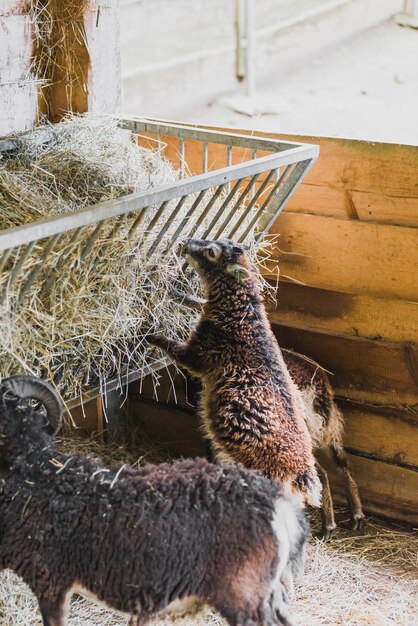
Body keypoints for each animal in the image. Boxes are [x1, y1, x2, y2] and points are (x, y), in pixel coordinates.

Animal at [149, 236, 322, 504]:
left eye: (211, 252)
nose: (185, 243)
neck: (243, 316)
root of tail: (301, 471)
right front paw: (181, 296)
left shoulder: (200, 354)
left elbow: (174, 349)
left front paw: (151, 336)